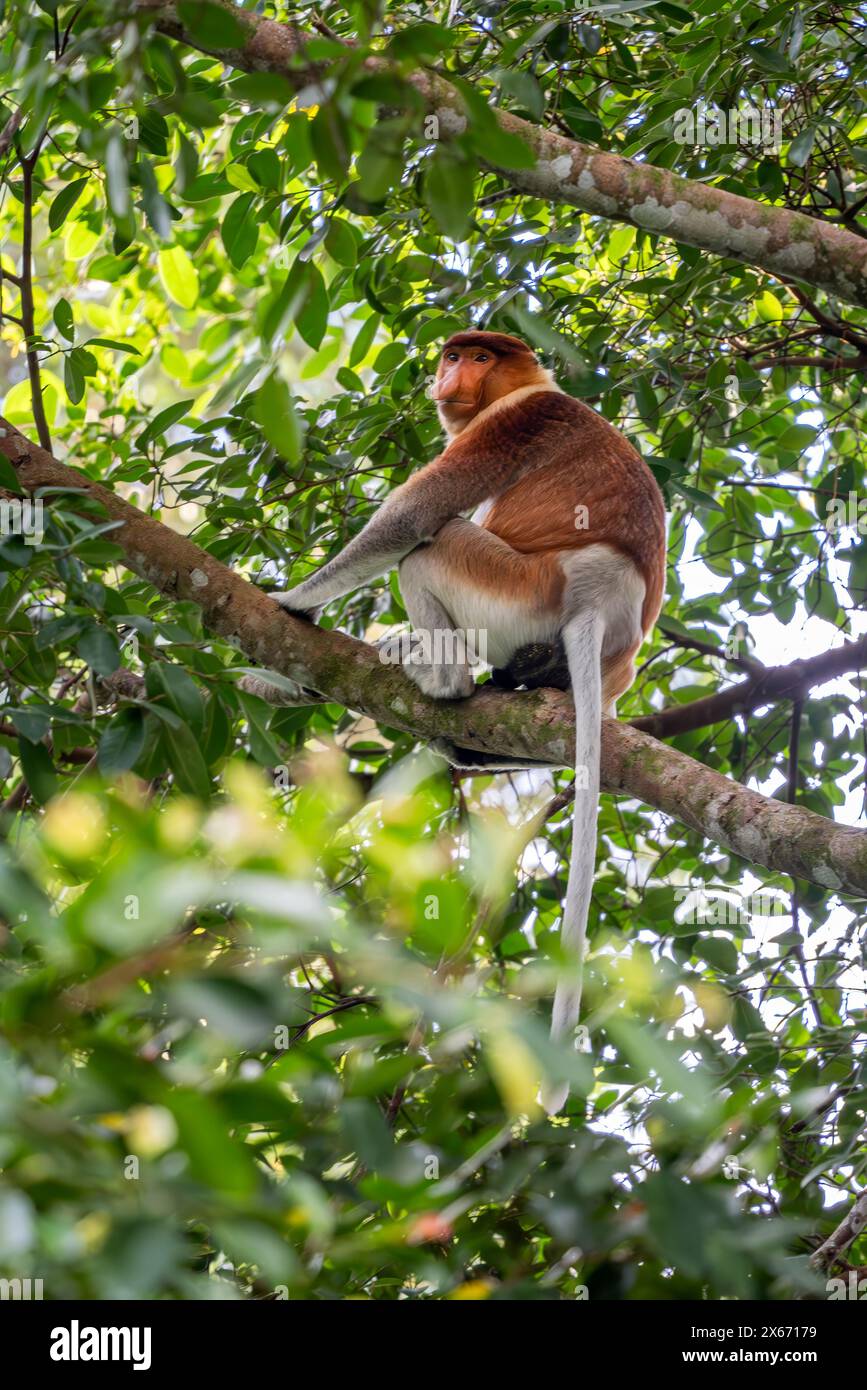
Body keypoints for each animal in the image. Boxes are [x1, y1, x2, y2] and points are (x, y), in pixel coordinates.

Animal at [273, 330, 666, 1112]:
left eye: (481, 357)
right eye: (453, 355)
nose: (449, 376)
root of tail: (600, 604)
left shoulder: (513, 421)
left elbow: (410, 518)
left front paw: (292, 602)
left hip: (516, 589)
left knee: (434, 544)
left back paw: (441, 682)